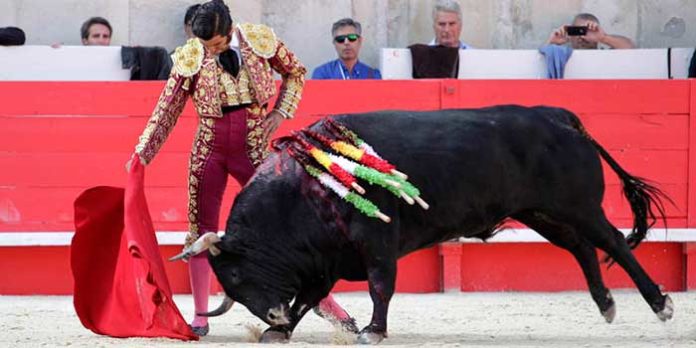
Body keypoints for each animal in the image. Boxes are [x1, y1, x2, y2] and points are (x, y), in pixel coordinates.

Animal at [198, 105, 672, 342]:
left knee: (614, 242)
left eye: (236, 275)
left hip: (579, 205)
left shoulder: (376, 242)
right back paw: (606, 305)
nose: (272, 314)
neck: (306, 185)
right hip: (541, 213)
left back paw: (659, 304)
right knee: (581, 247)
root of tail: (557, 115)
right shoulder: (326, 258)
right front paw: (279, 332)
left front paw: (373, 331)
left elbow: (380, 286)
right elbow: (311, 296)